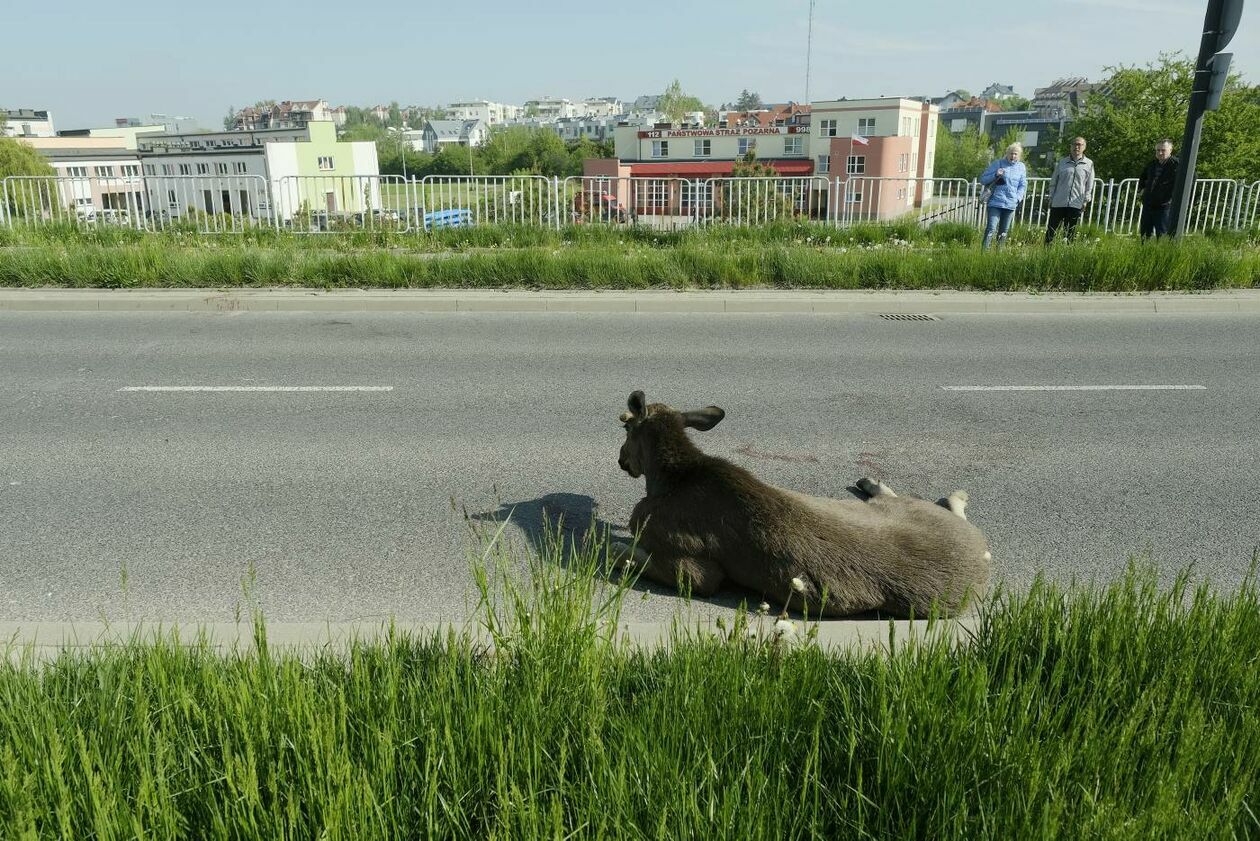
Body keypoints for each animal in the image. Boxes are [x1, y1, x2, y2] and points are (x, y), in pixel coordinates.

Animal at [614, 390, 987, 617]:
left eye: (627, 428)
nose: (621, 460)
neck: (666, 480)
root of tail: (985, 557)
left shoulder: (696, 566)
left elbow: (632, 557)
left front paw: (609, 548)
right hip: (898, 510)